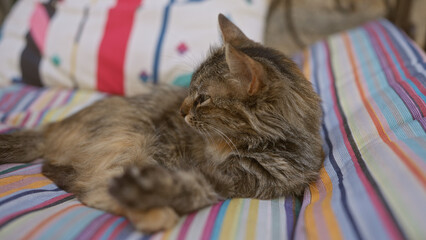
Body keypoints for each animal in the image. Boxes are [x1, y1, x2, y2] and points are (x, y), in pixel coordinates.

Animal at [0, 14, 322, 232]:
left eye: (202, 98)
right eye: (189, 90)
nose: (181, 111)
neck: (268, 147)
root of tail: (50, 128)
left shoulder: (230, 180)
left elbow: (188, 189)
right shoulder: (207, 172)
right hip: (133, 138)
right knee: (91, 187)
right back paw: (155, 214)